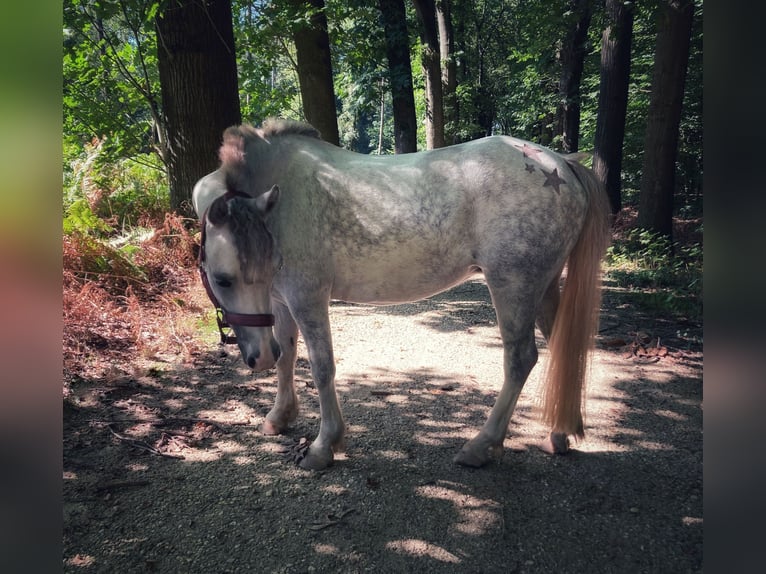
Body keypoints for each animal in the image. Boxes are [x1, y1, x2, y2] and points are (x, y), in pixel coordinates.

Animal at [194, 118, 612, 472]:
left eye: (223, 279)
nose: (257, 358)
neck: (282, 202)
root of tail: (559, 164)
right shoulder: (280, 300)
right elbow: (287, 357)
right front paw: (279, 417)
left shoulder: (307, 297)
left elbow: (321, 366)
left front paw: (323, 446)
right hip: (544, 285)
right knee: (561, 346)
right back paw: (559, 433)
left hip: (514, 285)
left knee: (521, 358)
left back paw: (481, 446)